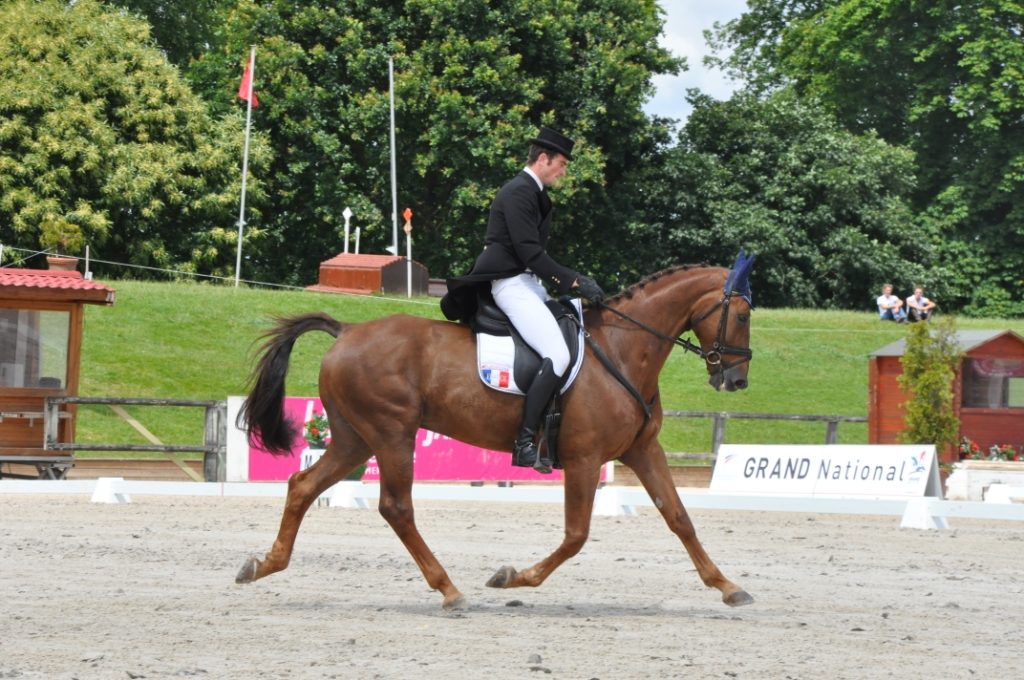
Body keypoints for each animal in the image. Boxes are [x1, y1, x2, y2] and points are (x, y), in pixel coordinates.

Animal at [235, 259, 757, 610]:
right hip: (391, 434)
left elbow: (679, 518)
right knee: (396, 507)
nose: (736, 381)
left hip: (353, 439)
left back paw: (263, 565)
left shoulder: (643, 449)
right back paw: (449, 590)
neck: (624, 350)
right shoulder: (585, 459)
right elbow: (576, 535)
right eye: (744, 314)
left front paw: (729, 587)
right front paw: (512, 577)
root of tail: (346, 331)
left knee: (302, 486)